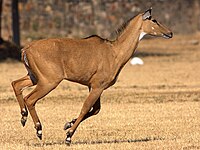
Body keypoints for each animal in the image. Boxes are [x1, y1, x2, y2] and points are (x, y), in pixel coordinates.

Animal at [11, 8, 173, 145]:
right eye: (154, 20)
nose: (170, 33)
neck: (115, 52)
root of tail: (26, 49)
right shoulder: (97, 86)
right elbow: (86, 108)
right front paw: (68, 136)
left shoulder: (93, 86)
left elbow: (95, 110)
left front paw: (68, 124)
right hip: (49, 81)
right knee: (30, 99)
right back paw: (39, 130)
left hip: (34, 77)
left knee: (16, 84)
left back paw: (23, 117)